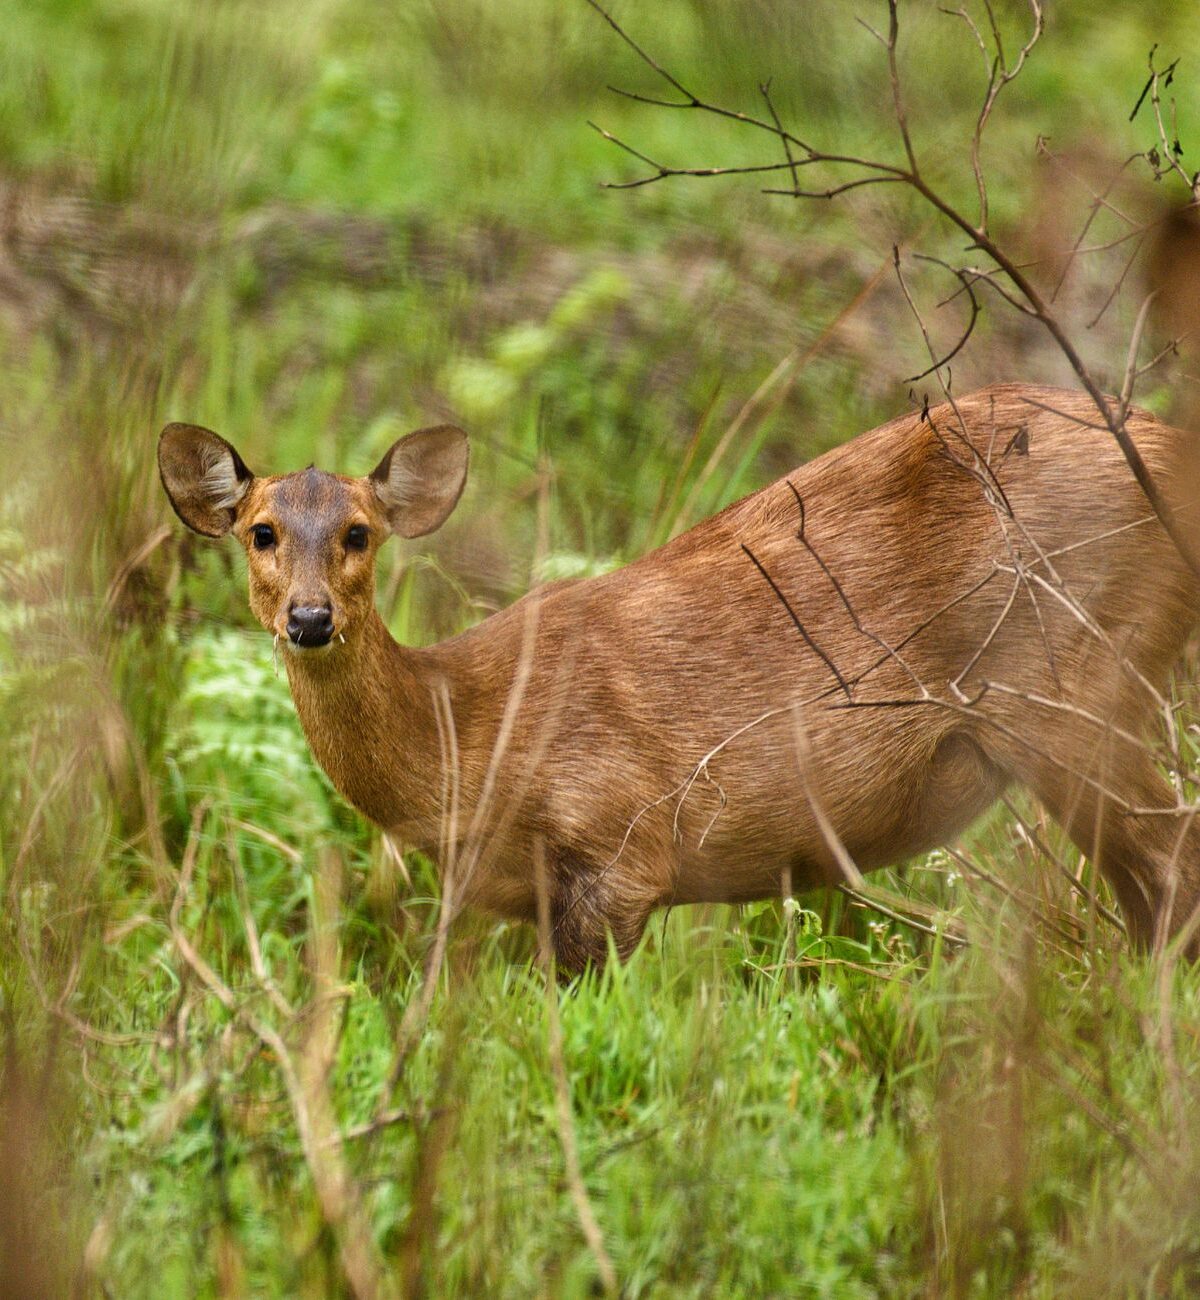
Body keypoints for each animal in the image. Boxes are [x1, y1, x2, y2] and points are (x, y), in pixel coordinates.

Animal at [158, 384, 1200, 970]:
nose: (310, 620)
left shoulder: (619, 845)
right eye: (261, 531)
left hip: (1070, 676)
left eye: (359, 532)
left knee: (1171, 864)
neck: (472, 733)